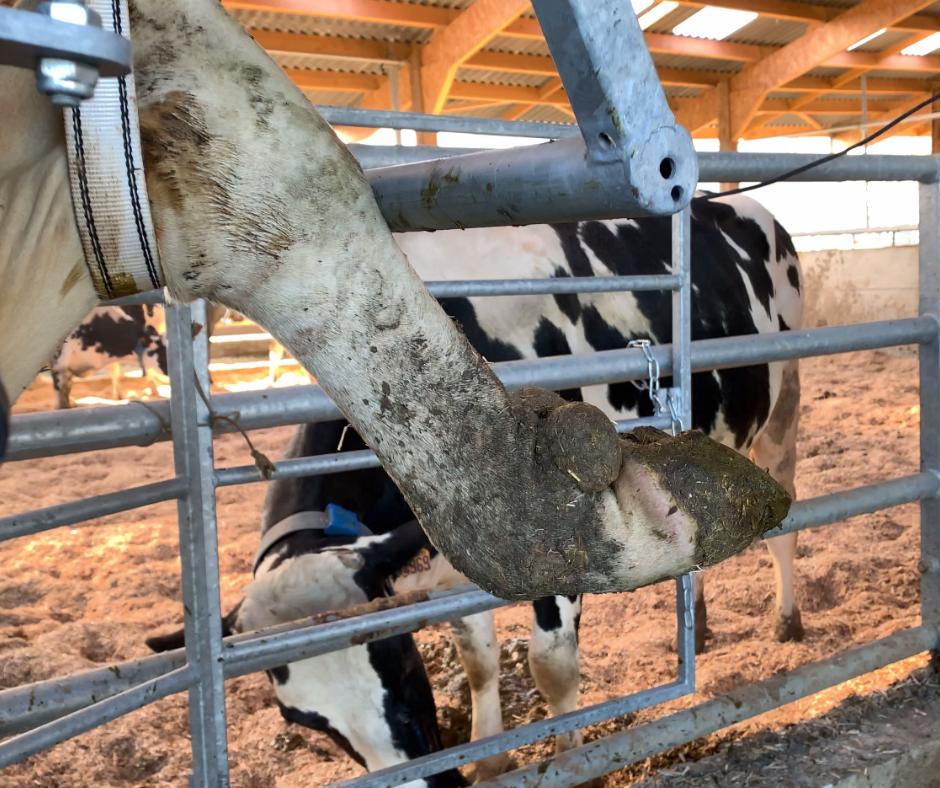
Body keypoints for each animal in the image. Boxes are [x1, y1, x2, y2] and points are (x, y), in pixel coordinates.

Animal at [148, 193, 802, 781]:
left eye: (401, 663)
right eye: (307, 723)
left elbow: (551, 666)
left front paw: (575, 764)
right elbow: (478, 660)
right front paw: (489, 759)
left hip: (783, 407)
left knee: (782, 520)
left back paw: (788, 619)